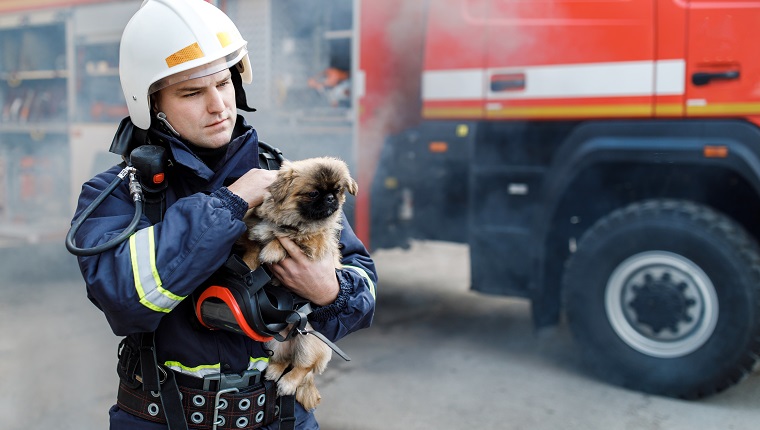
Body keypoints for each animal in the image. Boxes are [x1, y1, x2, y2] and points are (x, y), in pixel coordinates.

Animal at [238, 157, 356, 410]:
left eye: (337, 190)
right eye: (313, 193)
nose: (330, 198)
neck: (289, 221)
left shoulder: (315, 240)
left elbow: (292, 237)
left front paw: (272, 250)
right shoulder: (254, 228)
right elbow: (253, 243)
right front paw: (250, 263)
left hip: (309, 343)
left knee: (302, 367)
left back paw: (288, 383)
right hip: (273, 343)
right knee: (283, 360)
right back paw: (274, 371)